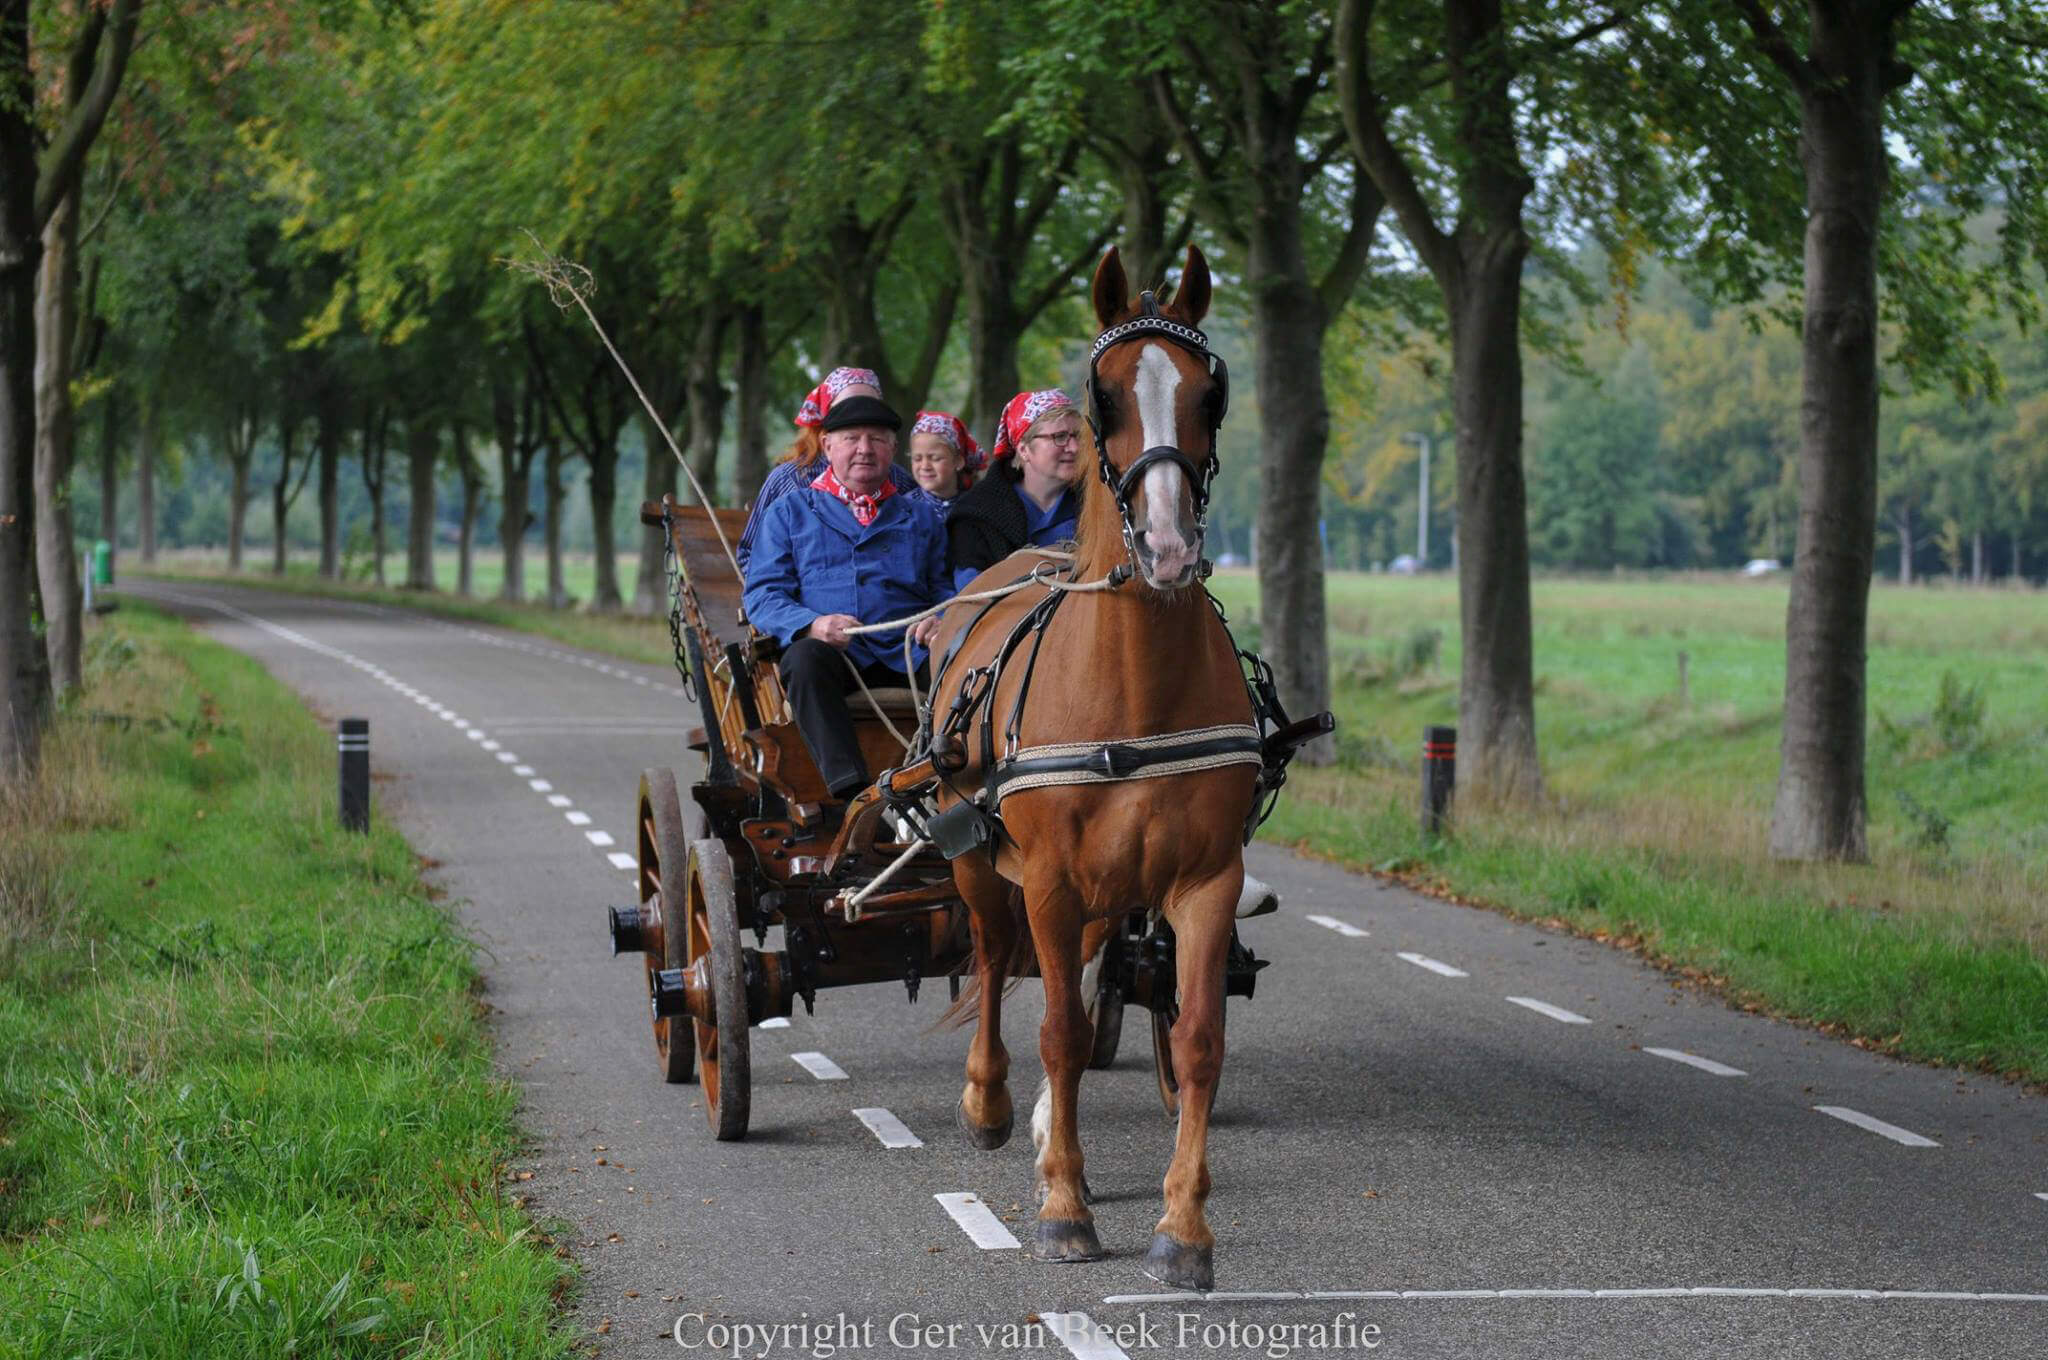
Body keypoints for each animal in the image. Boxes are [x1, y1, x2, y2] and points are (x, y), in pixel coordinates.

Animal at [929, 244, 1245, 1294]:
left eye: (1210, 391)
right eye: (1102, 397)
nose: (1170, 547)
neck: (1136, 686)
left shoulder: (1205, 880)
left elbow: (1197, 1039)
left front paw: (1183, 1229)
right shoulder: (1049, 879)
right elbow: (1060, 1031)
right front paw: (1066, 1210)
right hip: (978, 862)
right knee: (996, 962)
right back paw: (991, 1106)